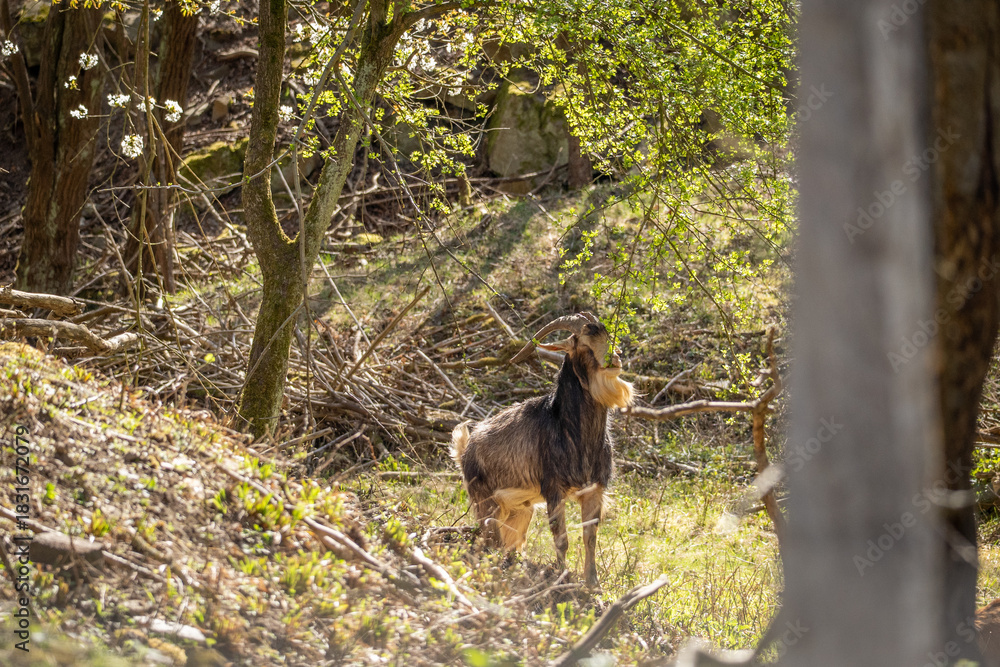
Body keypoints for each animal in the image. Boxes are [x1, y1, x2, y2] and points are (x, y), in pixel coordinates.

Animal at [451, 311, 634, 587]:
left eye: (605, 333)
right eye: (581, 341)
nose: (614, 359)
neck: (572, 431)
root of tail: (466, 449)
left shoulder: (594, 489)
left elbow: (590, 537)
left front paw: (593, 584)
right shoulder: (553, 489)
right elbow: (561, 539)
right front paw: (562, 578)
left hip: (520, 510)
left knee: (510, 542)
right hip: (485, 501)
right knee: (487, 539)